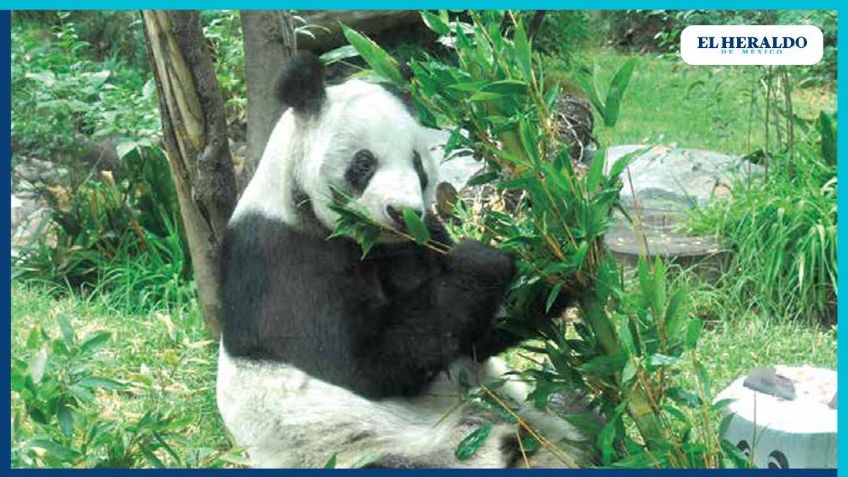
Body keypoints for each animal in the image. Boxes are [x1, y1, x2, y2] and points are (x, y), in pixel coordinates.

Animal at [215, 54, 588, 466]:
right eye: (363, 164)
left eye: (417, 164)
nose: (403, 212)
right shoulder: (281, 259)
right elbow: (370, 361)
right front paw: (482, 261)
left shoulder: (419, 242)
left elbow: (473, 335)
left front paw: (558, 257)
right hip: (361, 447)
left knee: (572, 410)